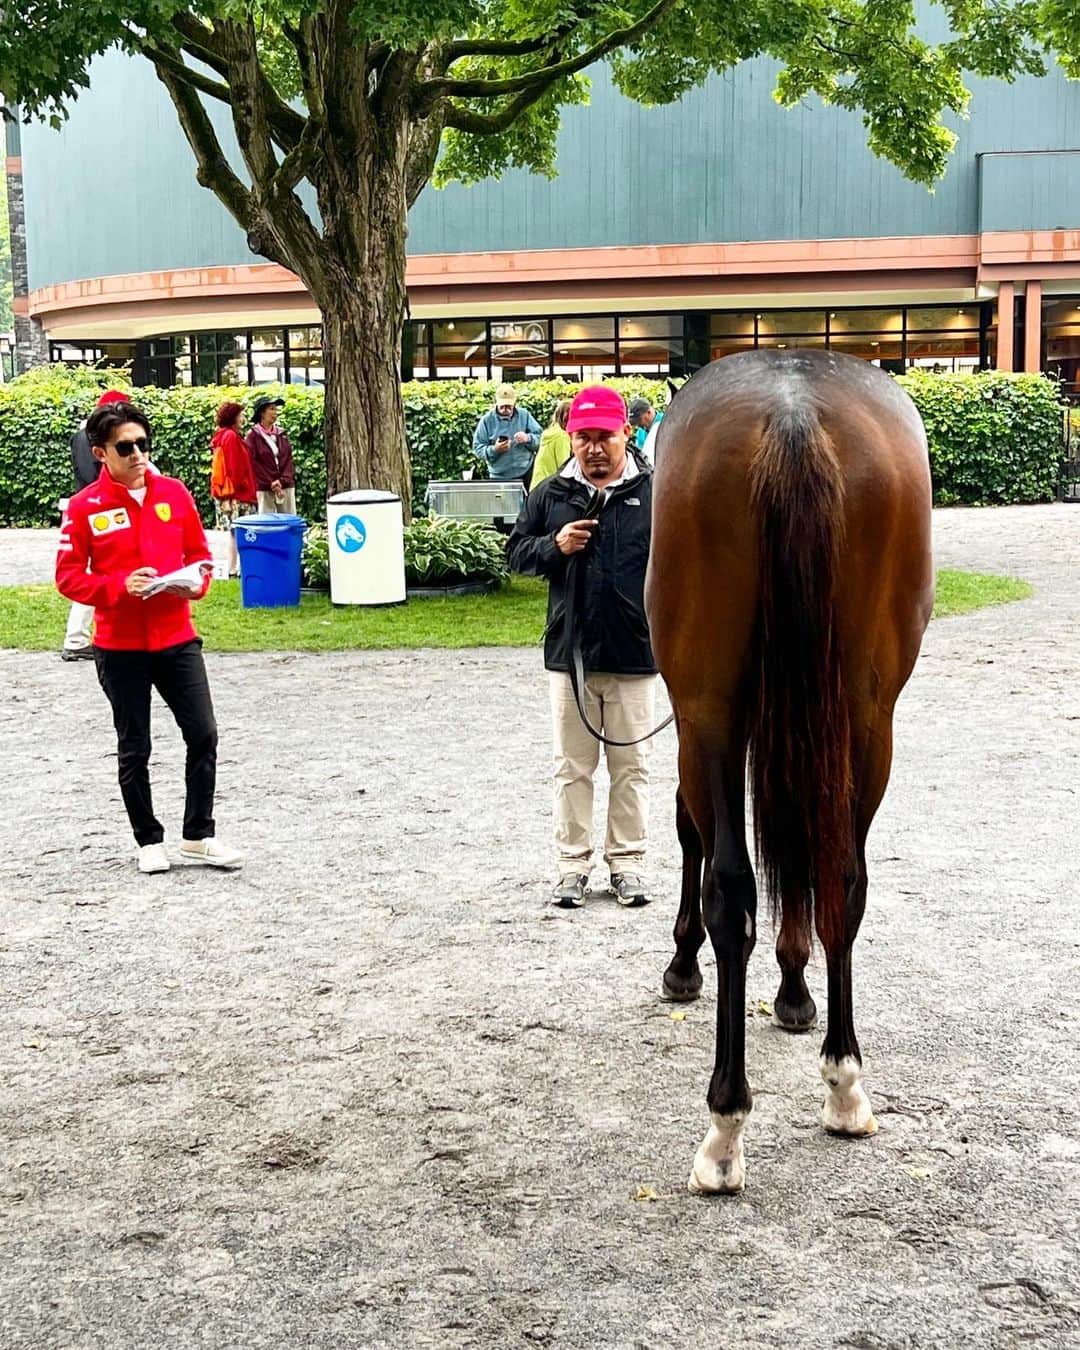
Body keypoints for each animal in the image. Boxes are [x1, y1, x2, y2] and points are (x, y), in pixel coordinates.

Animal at [645, 348, 934, 1194]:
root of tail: (793, 410)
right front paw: (797, 990)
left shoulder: (703, 720)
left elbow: (691, 833)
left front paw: (684, 965)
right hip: (868, 717)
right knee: (842, 877)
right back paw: (844, 1082)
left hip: (708, 706)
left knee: (732, 893)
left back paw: (724, 1126)